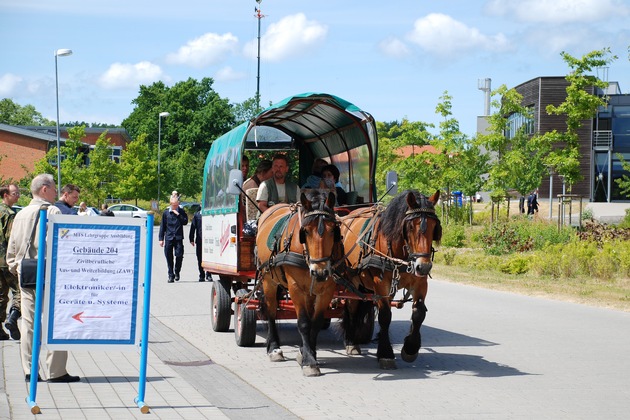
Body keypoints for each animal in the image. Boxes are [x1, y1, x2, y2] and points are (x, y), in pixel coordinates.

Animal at [256, 190, 344, 378]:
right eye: (306, 231)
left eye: (333, 230)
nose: (320, 272)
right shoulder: (295, 287)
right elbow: (303, 323)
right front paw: (309, 361)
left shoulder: (326, 290)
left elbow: (315, 323)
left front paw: (307, 353)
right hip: (268, 280)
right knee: (271, 310)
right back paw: (274, 348)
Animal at [340, 189, 444, 368]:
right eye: (410, 226)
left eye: (434, 226)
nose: (423, 267)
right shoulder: (381, 285)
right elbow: (385, 316)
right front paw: (386, 353)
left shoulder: (419, 282)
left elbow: (418, 313)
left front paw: (410, 348)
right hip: (351, 281)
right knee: (351, 307)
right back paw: (352, 342)